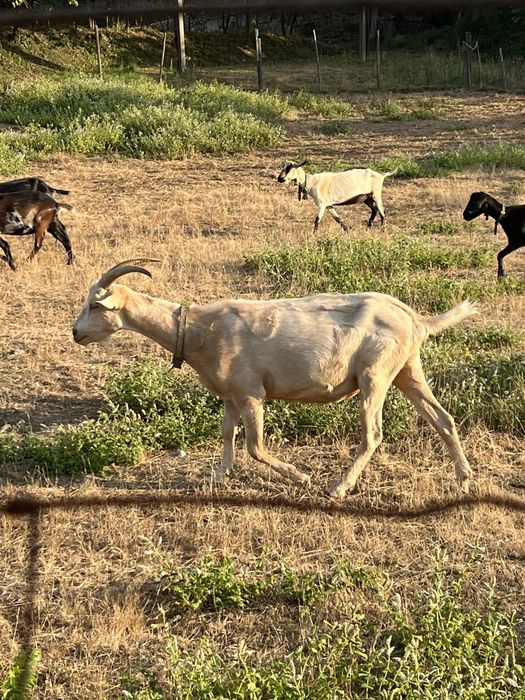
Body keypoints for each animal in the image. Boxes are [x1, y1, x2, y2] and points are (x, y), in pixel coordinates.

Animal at [73, 259, 477, 498]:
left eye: (94, 304)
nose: (76, 333)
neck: (198, 328)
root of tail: (414, 317)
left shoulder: (252, 393)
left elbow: (255, 446)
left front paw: (300, 477)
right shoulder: (230, 394)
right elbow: (226, 433)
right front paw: (218, 477)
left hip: (374, 373)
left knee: (374, 433)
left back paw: (338, 487)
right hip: (407, 368)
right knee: (442, 419)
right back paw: (464, 478)